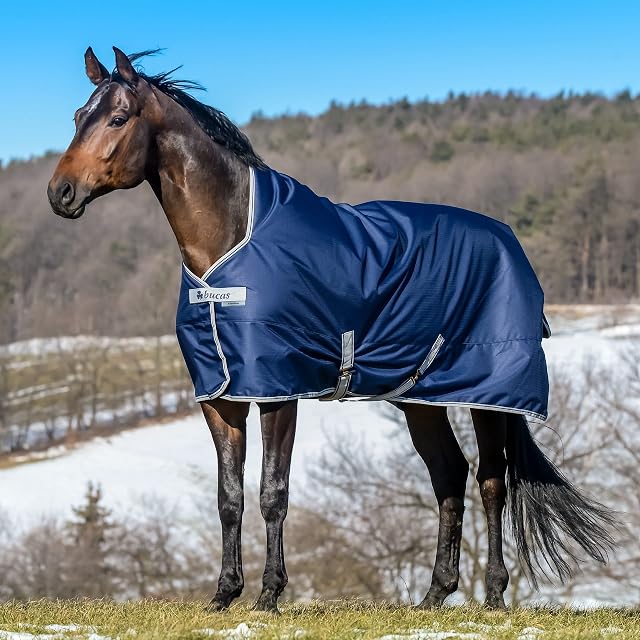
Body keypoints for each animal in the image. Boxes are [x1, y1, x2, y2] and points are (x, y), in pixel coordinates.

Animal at [47, 47, 615, 612]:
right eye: (77, 117)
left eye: (118, 118)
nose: (60, 193)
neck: (229, 245)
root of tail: (508, 242)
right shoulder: (220, 397)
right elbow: (229, 497)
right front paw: (223, 595)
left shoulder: (278, 391)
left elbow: (272, 492)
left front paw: (269, 594)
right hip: (420, 399)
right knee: (449, 475)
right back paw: (435, 594)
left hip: (489, 395)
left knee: (492, 480)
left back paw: (494, 594)